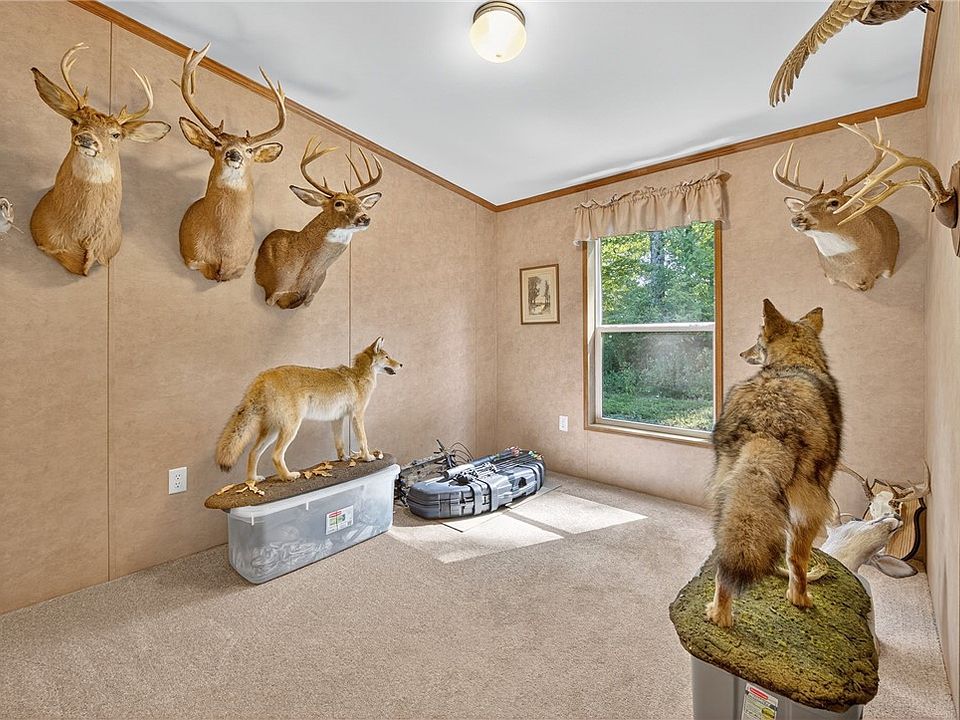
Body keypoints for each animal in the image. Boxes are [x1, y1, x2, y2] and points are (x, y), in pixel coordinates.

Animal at [177, 44, 286, 282]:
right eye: (218, 143)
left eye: (250, 150)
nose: (234, 154)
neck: (223, 248)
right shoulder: (191, 258)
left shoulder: (240, 268)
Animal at [215, 337, 402, 496]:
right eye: (387, 357)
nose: (401, 364)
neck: (358, 375)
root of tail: (263, 376)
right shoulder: (357, 416)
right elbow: (363, 440)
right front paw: (368, 457)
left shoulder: (337, 419)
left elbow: (339, 443)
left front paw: (343, 458)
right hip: (290, 429)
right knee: (276, 455)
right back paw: (288, 476)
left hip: (272, 433)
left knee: (253, 453)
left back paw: (253, 480)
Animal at [705, 299, 842, 628]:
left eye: (756, 342)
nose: (743, 354)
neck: (796, 360)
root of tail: (768, 426)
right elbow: (796, 559)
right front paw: (798, 596)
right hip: (812, 502)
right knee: (797, 558)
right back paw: (800, 597)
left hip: (726, 490)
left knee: (724, 559)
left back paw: (720, 614)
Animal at [774, 119, 900, 292]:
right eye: (804, 207)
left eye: (834, 202)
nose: (797, 218)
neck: (859, 275)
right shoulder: (830, 276)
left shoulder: (889, 265)